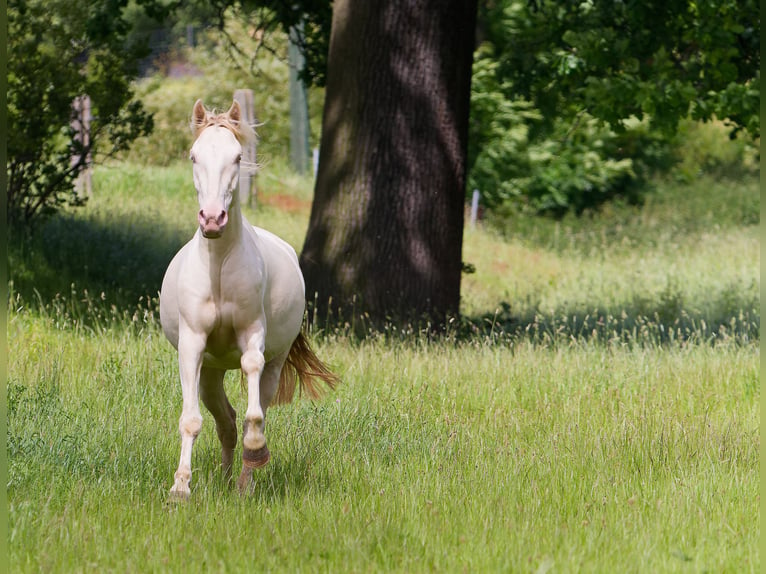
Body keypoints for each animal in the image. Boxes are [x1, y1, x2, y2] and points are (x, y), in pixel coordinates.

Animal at [160, 100, 338, 500]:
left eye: (237, 157)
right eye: (194, 156)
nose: (212, 219)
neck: (219, 266)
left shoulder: (253, 334)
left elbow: (253, 404)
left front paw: (256, 452)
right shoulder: (192, 347)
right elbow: (191, 420)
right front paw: (180, 488)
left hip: (276, 362)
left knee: (250, 413)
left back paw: (243, 483)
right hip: (210, 372)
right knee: (224, 421)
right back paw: (227, 479)